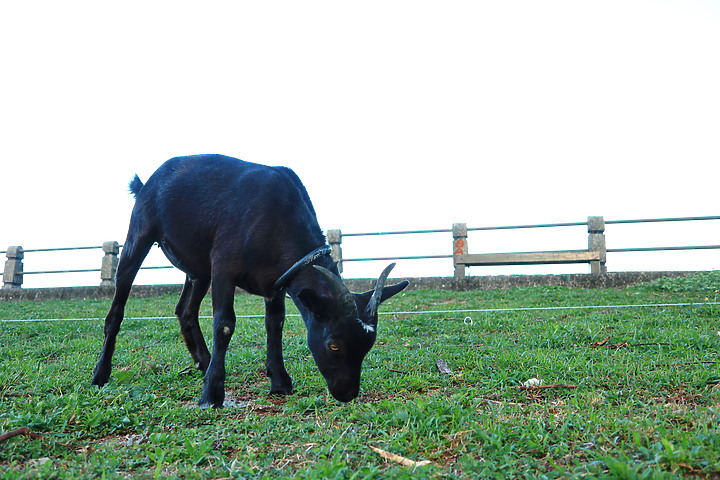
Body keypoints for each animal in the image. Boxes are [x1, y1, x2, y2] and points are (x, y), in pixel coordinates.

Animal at [90, 155, 408, 408]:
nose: (347, 393)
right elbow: (225, 324)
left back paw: (203, 362)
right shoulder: (223, 268)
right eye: (334, 345)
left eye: (368, 345)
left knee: (185, 310)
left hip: (198, 269)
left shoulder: (277, 281)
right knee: (117, 310)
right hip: (140, 234)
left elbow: (275, 324)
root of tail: (146, 183)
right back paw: (100, 374)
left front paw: (280, 382)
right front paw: (211, 396)